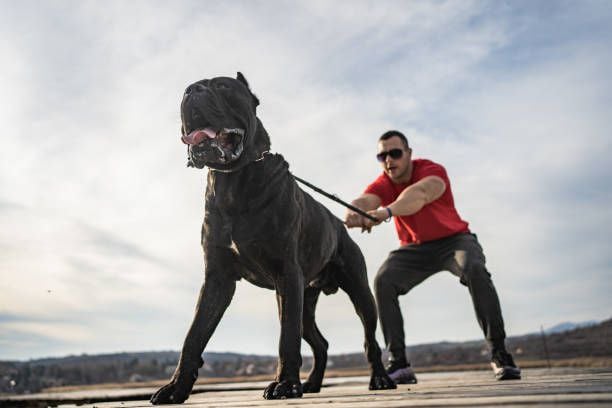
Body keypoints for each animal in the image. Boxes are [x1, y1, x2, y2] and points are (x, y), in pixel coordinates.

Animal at [151, 74, 394, 404]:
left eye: (224, 86)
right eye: (190, 87)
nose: (191, 90)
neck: (232, 182)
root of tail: (340, 225)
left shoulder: (286, 273)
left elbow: (286, 336)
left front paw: (285, 385)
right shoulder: (217, 280)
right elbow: (194, 336)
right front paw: (176, 388)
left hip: (358, 292)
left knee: (369, 339)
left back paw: (379, 378)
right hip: (306, 298)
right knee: (320, 343)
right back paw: (312, 383)